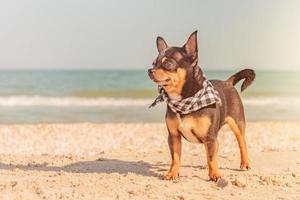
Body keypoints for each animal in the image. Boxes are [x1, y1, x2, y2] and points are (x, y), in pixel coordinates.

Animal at [148, 30, 255, 181]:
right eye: (154, 64)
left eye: (168, 63)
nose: (149, 71)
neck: (184, 100)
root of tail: (228, 82)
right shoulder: (174, 136)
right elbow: (175, 157)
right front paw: (173, 173)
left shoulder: (210, 137)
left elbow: (211, 157)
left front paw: (215, 174)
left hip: (237, 124)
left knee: (242, 143)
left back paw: (245, 163)